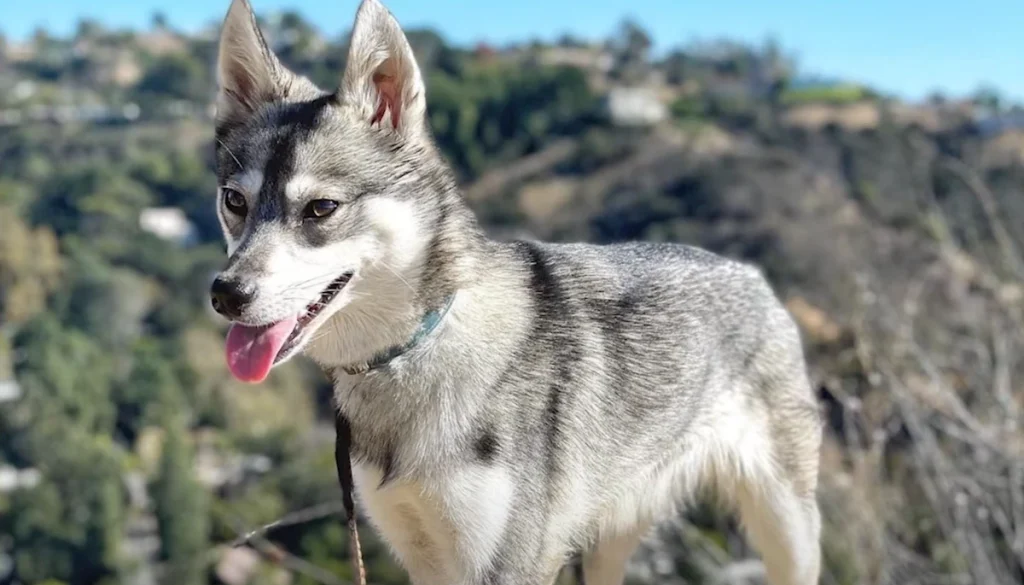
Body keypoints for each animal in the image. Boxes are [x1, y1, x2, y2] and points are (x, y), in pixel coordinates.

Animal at [207, 0, 823, 581]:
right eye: (234, 201)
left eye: (321, 208)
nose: (226, 294)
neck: (417, 348)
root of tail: (752, 275)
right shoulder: (423, 557)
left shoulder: (511, 563)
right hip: (608, 541)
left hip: (787, 530)